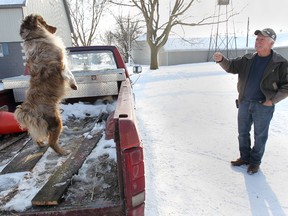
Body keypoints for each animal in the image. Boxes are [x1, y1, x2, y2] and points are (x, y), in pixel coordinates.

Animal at [14, 13, 77, 155]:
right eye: (45, 22)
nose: (55, 28)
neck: (35, 37)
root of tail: (27, 110)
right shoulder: (61, 63)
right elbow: (69, 74)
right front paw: (74, 85)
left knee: (36, 136)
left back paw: (41, 144)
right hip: (56, 122)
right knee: (52, 143)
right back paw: (63, 152)